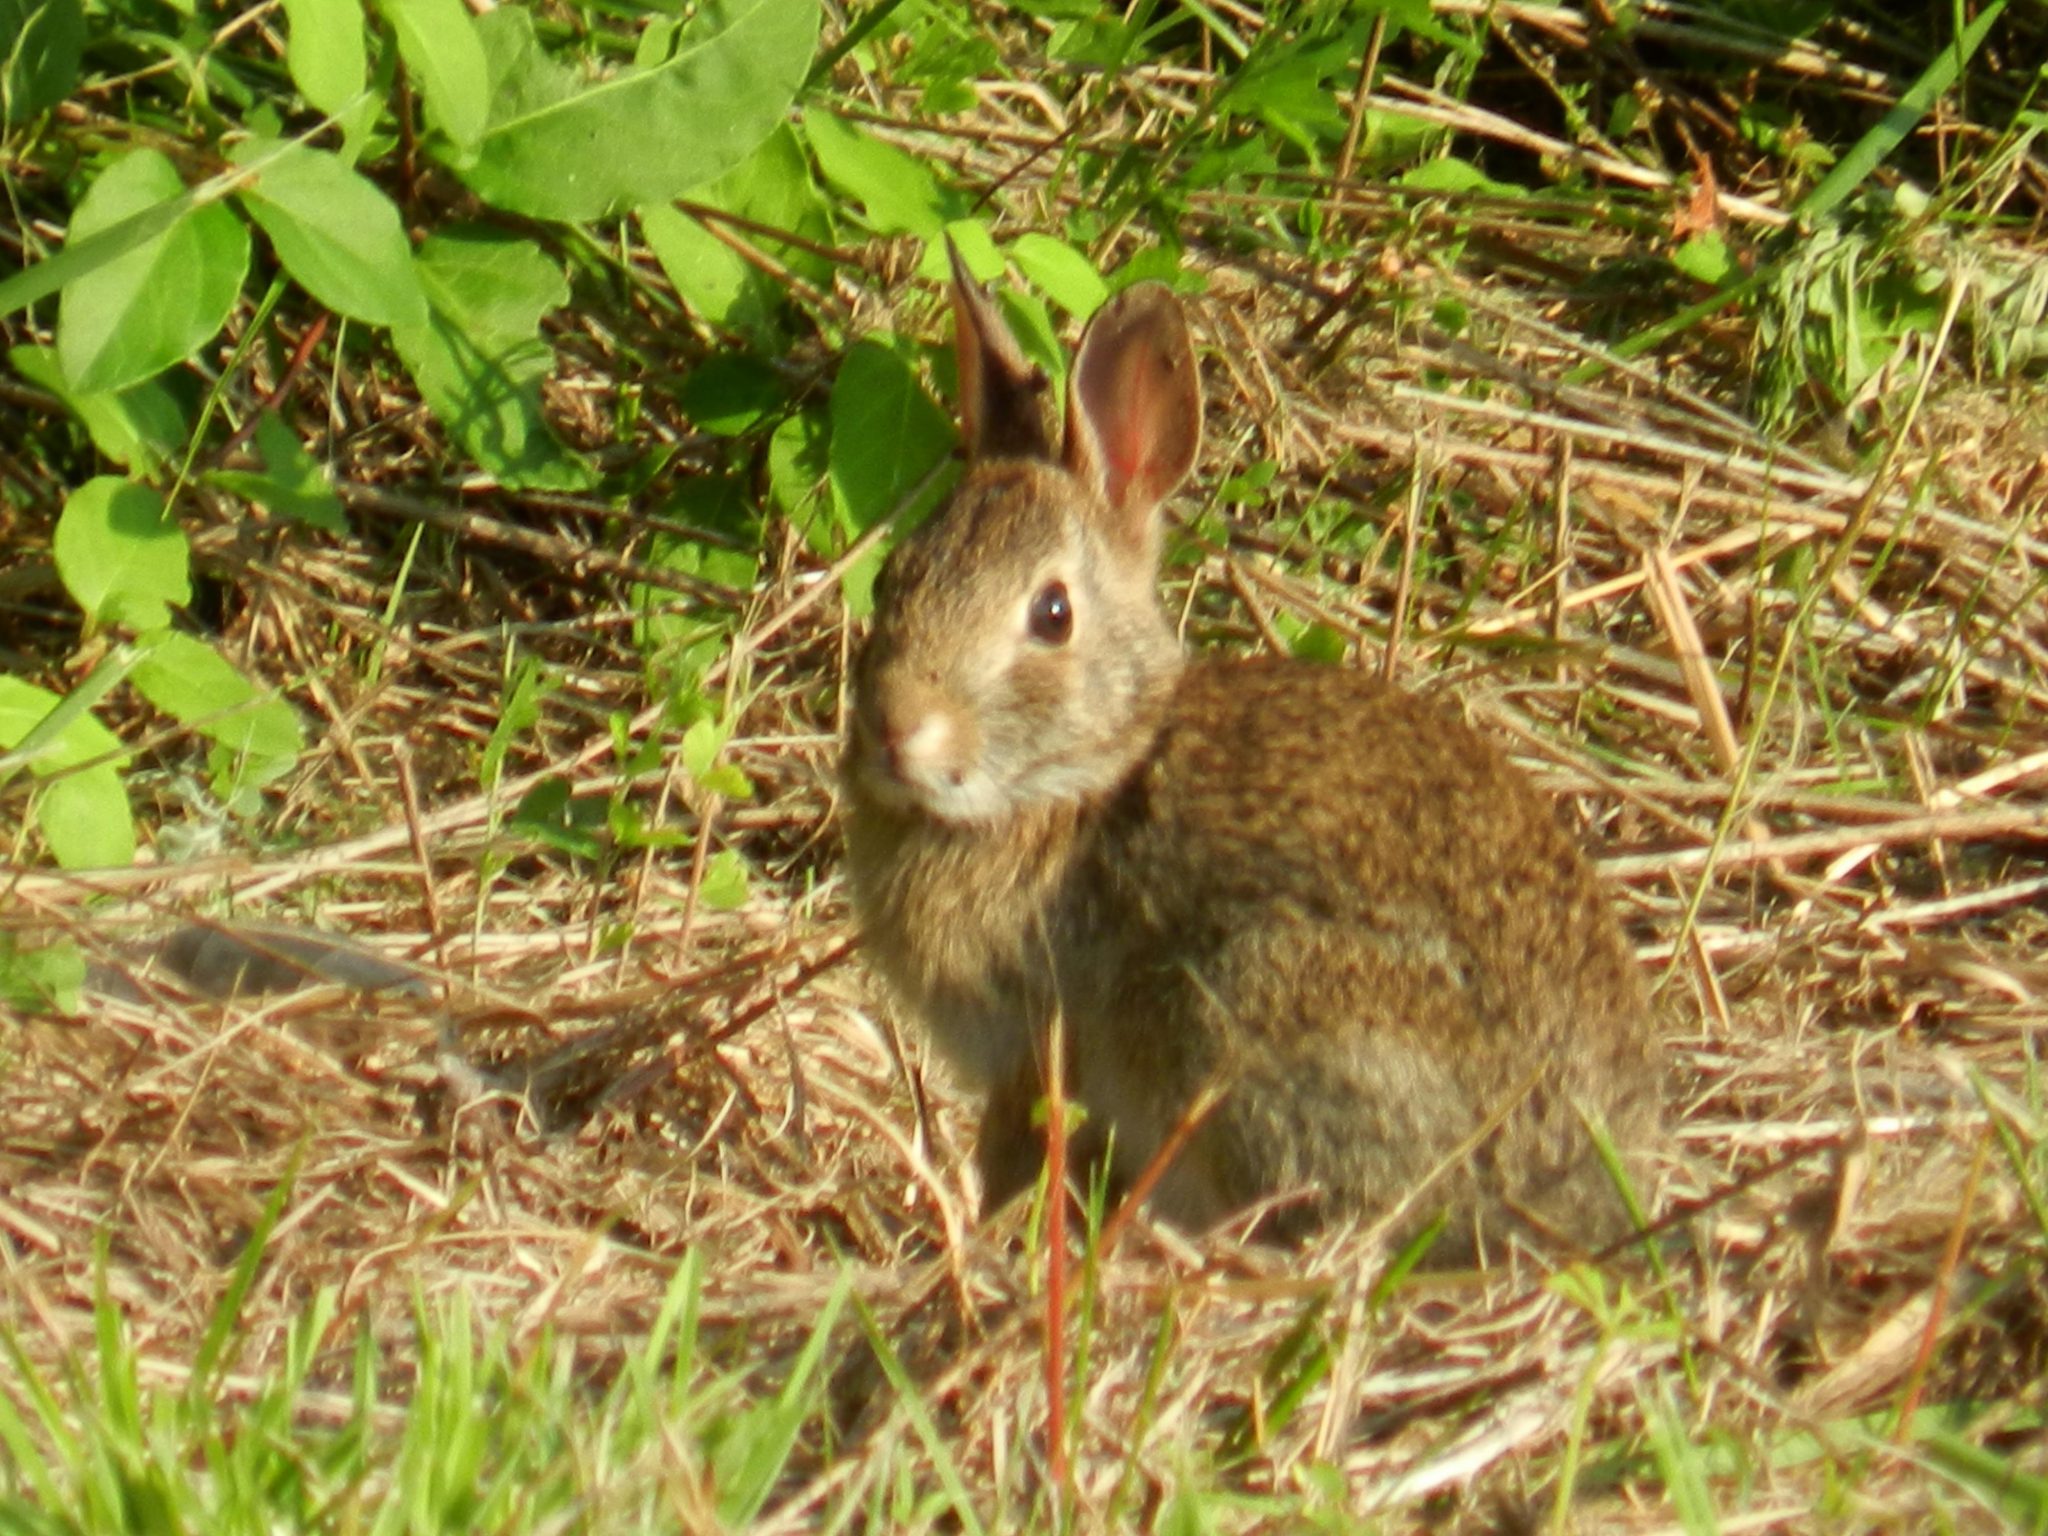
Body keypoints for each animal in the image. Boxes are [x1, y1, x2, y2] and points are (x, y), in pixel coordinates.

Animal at [839, 246, 1654, 1261]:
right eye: (895, 576)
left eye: (1052, 615)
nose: (894, 723)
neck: (1088, 778)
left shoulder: (1034, 1049)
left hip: (1264, 1016)